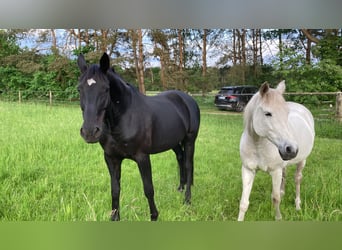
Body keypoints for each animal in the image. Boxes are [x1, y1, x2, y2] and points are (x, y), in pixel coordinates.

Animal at [77, 52, 200, 221]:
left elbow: (148, 189)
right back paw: (180, 188)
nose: (89, 132)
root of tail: (188, 99)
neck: (124, 116)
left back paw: (187, 199)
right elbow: (115, 189)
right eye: (79, 89)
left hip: (189, 140)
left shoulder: (142, 157)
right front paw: (115, 217)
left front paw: (154, 216)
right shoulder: (111, 158)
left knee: (188, 165)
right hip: (174, 142)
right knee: (180, 158)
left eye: (106, 89)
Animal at [238, 80, 316, 221]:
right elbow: (243, 203)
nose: (292, 149)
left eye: (286, 113)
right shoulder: (248, 170)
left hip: (302, 160)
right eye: (268, 113)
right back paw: (283, 192)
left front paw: (278, 218)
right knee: (285, 176)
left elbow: (275, 199)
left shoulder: (275, 171)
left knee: (297, 179)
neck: (258, 146)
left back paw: (297, 205)